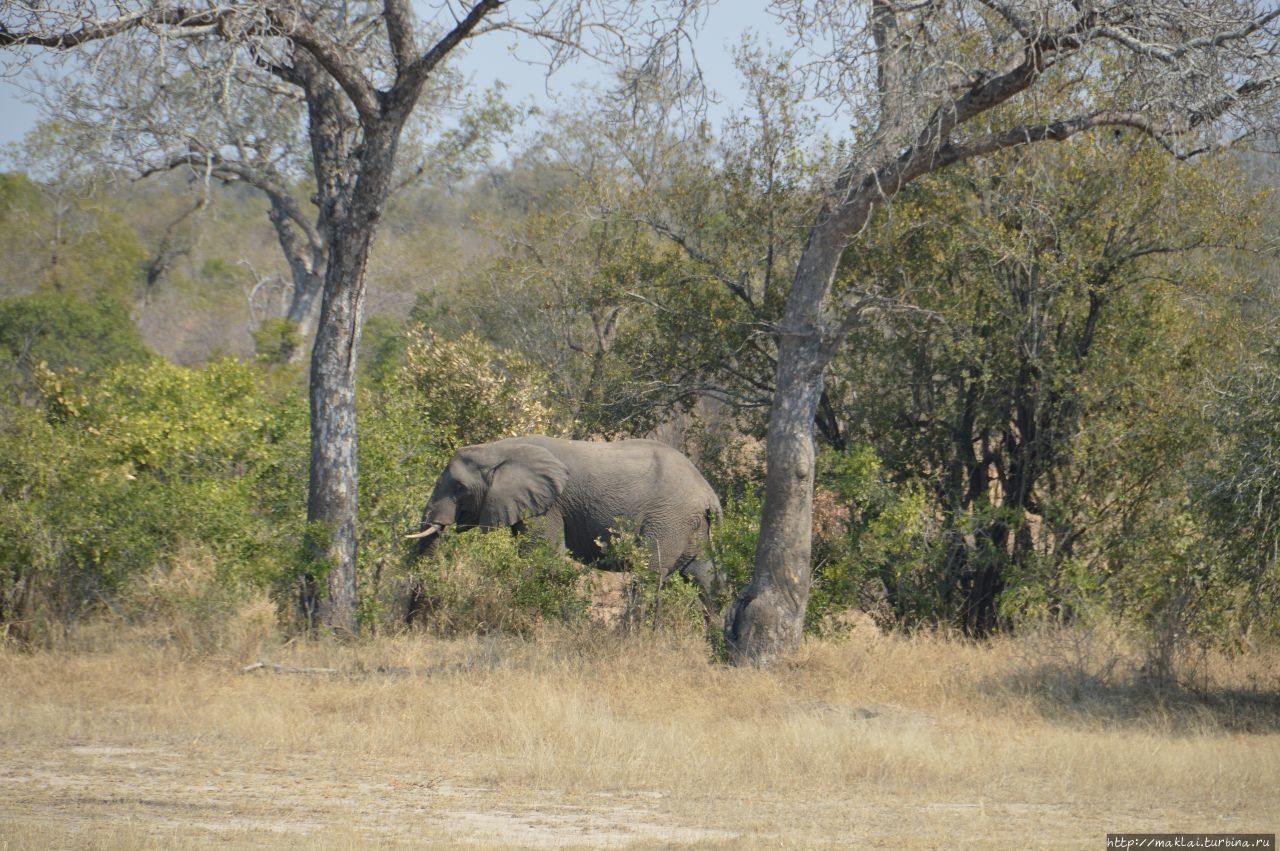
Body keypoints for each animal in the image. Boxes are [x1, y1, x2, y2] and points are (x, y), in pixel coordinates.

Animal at [404, 437, 727, 611]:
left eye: (459, 488)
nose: (411, 624)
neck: (499, 448)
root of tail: (709, 495)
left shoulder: (549, 506)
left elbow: (542, 557)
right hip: (694, 526)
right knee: (706, 579)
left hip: (669, 519)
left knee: (648, 575)